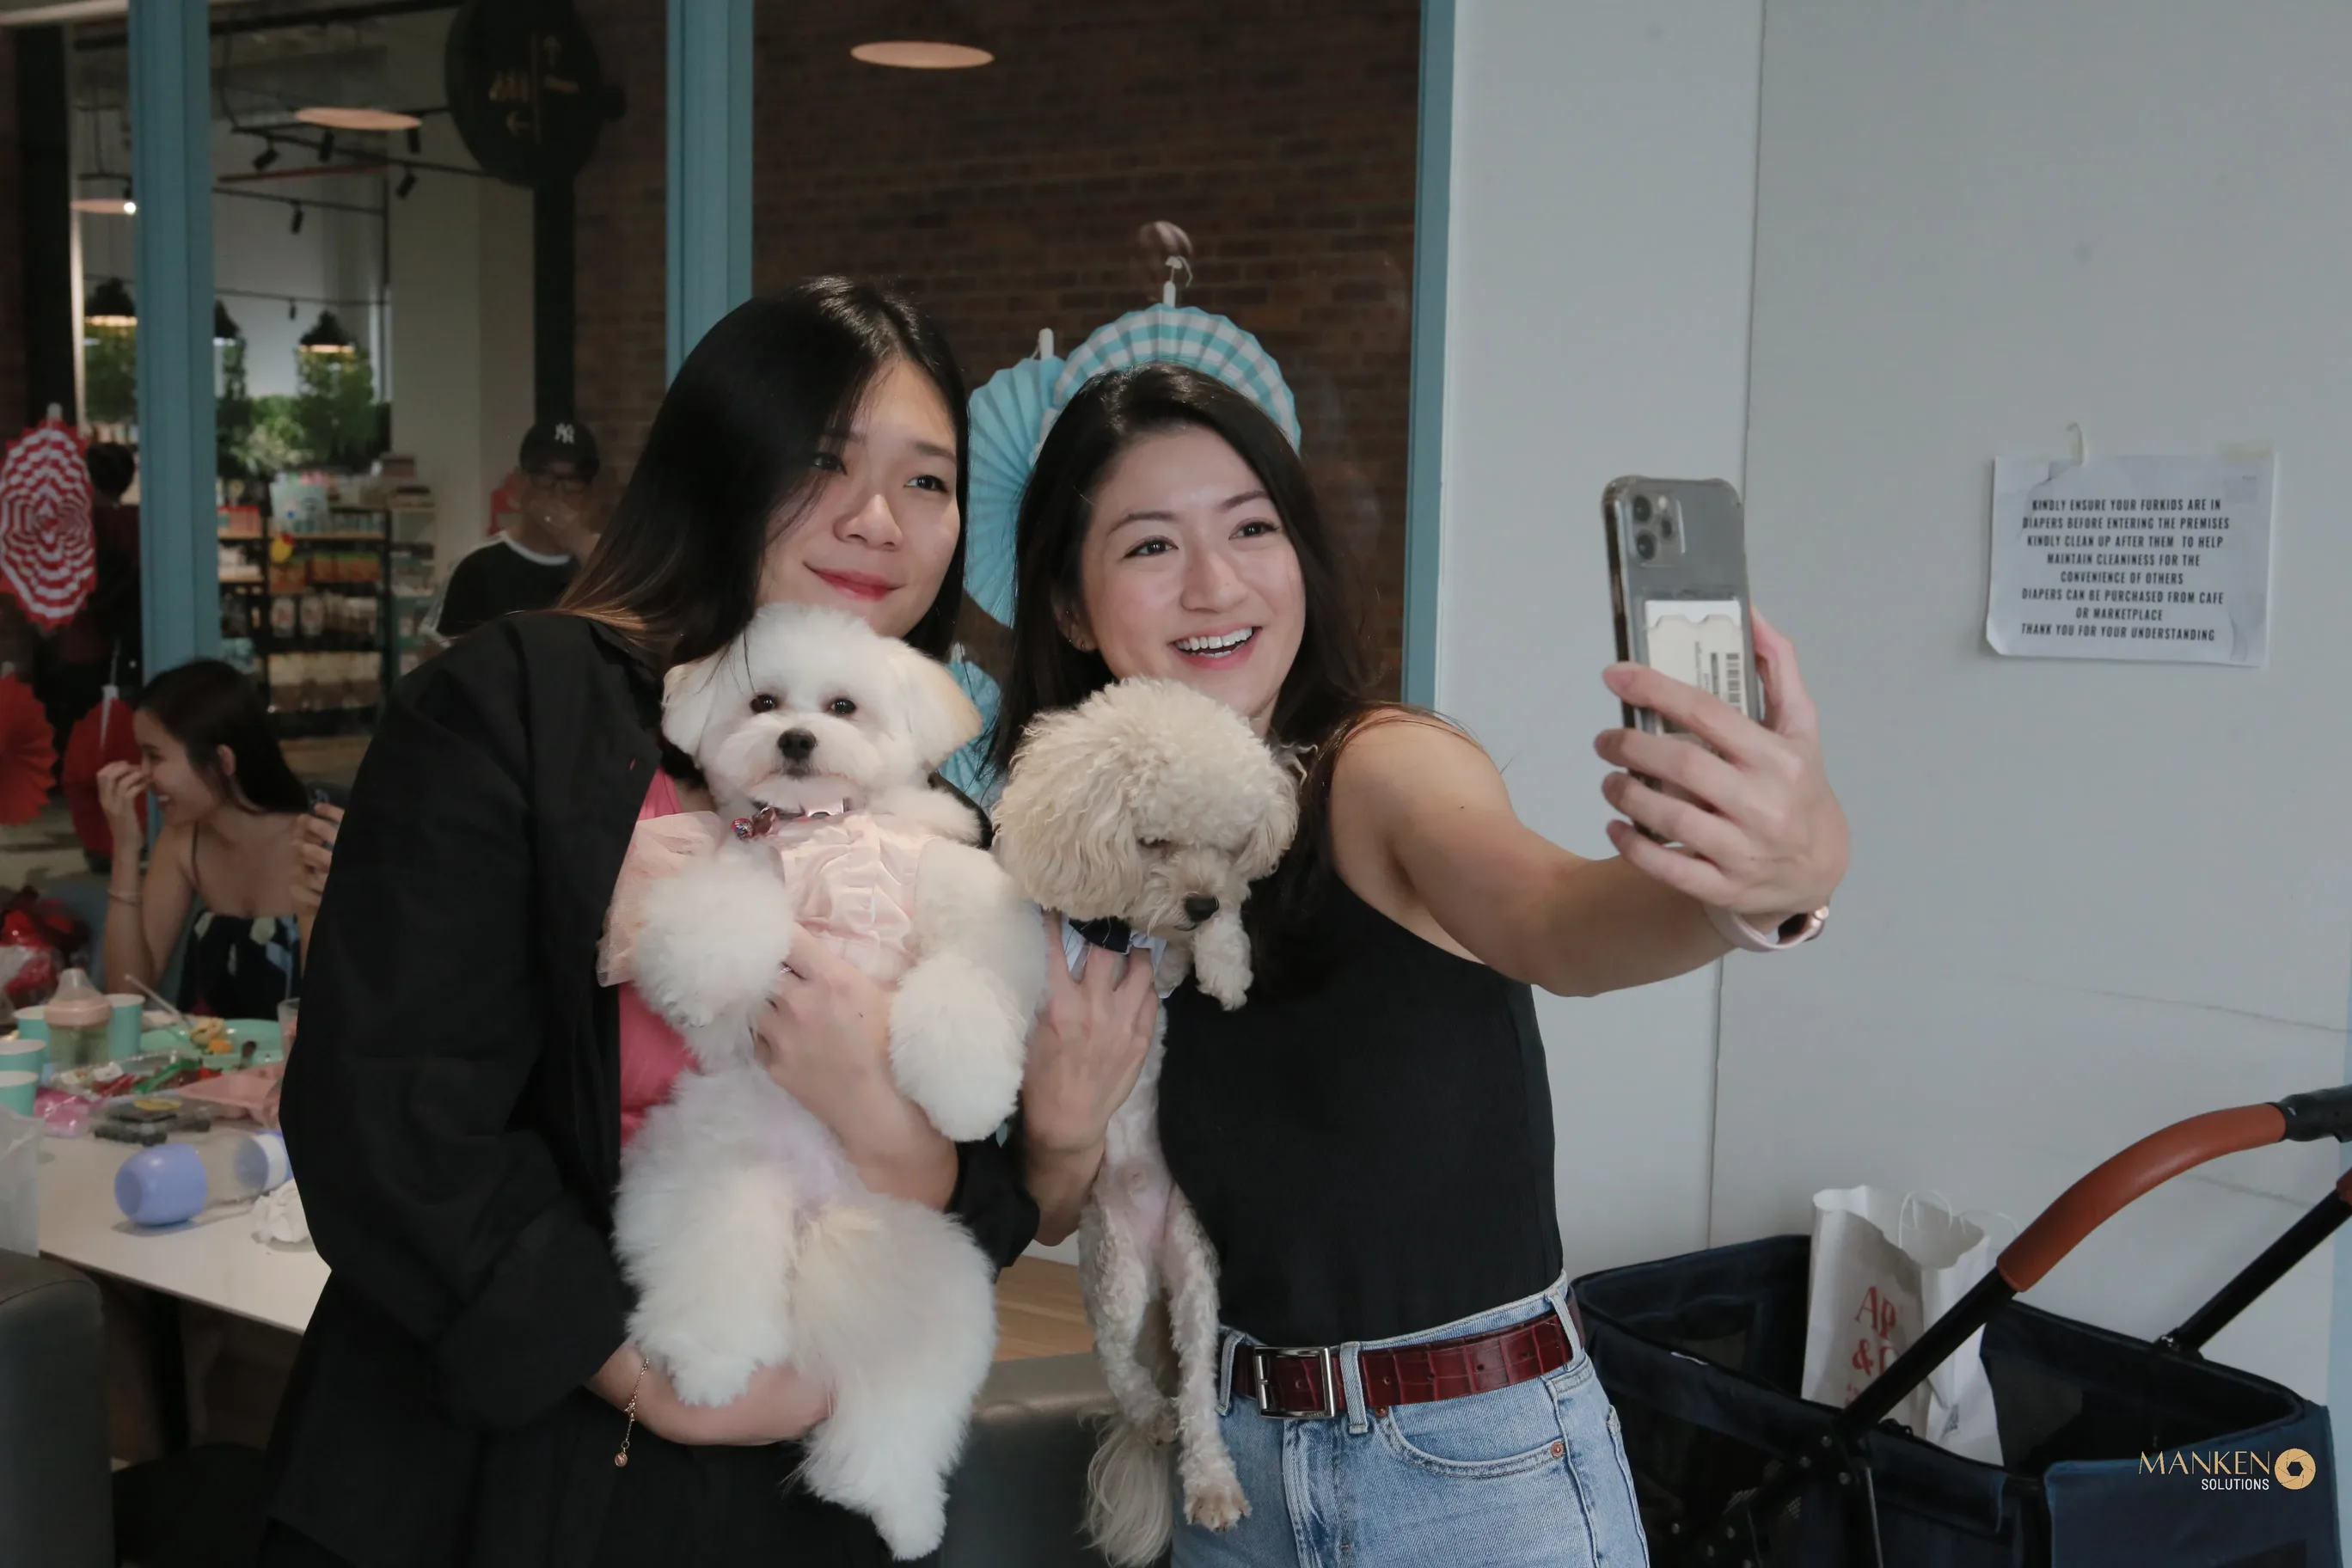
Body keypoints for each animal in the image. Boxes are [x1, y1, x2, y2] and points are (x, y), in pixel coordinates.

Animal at [606, 602, 1048, 1560]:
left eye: (844, 706)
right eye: (764, 701)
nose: (798, 738)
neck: (822, 826)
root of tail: (821, 1218)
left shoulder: (960, 896)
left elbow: (971, 975)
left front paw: (964, 1087)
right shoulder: (729, 869)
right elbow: (725, 918)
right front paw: (710, 967)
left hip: (942, 1281)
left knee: (899, 1413)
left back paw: (900, 1508)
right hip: (718, 1185)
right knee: (717, 1270)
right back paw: (709, 1363)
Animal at [992, 677, 1300, 1566]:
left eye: (1228, 846)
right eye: (1153, 840)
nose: (1196, 899)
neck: (1123, 929)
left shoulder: (1168, 958)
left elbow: (1215, 939)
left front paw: (1227, 969)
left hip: (1197, 1278)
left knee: (1197, 1386)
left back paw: (1211, 1480)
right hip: (1116, 1272)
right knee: (1113, 1354)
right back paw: (1147, 1415)